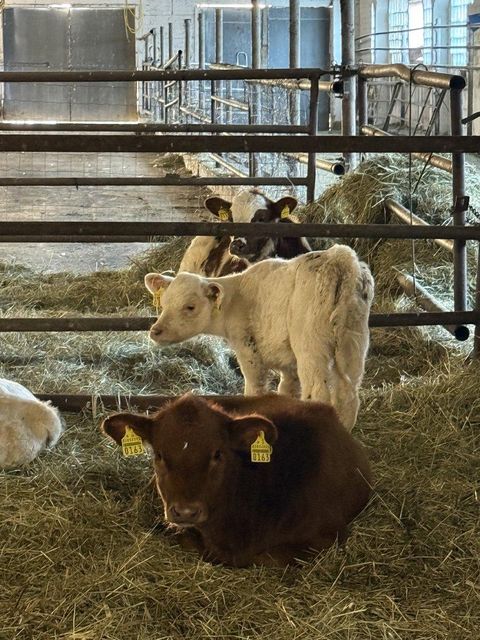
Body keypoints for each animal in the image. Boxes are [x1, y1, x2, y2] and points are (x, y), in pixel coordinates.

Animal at [145, 244, 374, 431]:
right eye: (164, 303)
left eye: (190, 307)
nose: (155, 331)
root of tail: (339, 257)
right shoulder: (289, 364)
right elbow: (287, 391)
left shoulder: (248, 351)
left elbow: (255, 390)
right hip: (353, 341)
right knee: (348, 394)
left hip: (311, 346)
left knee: (318, 393)